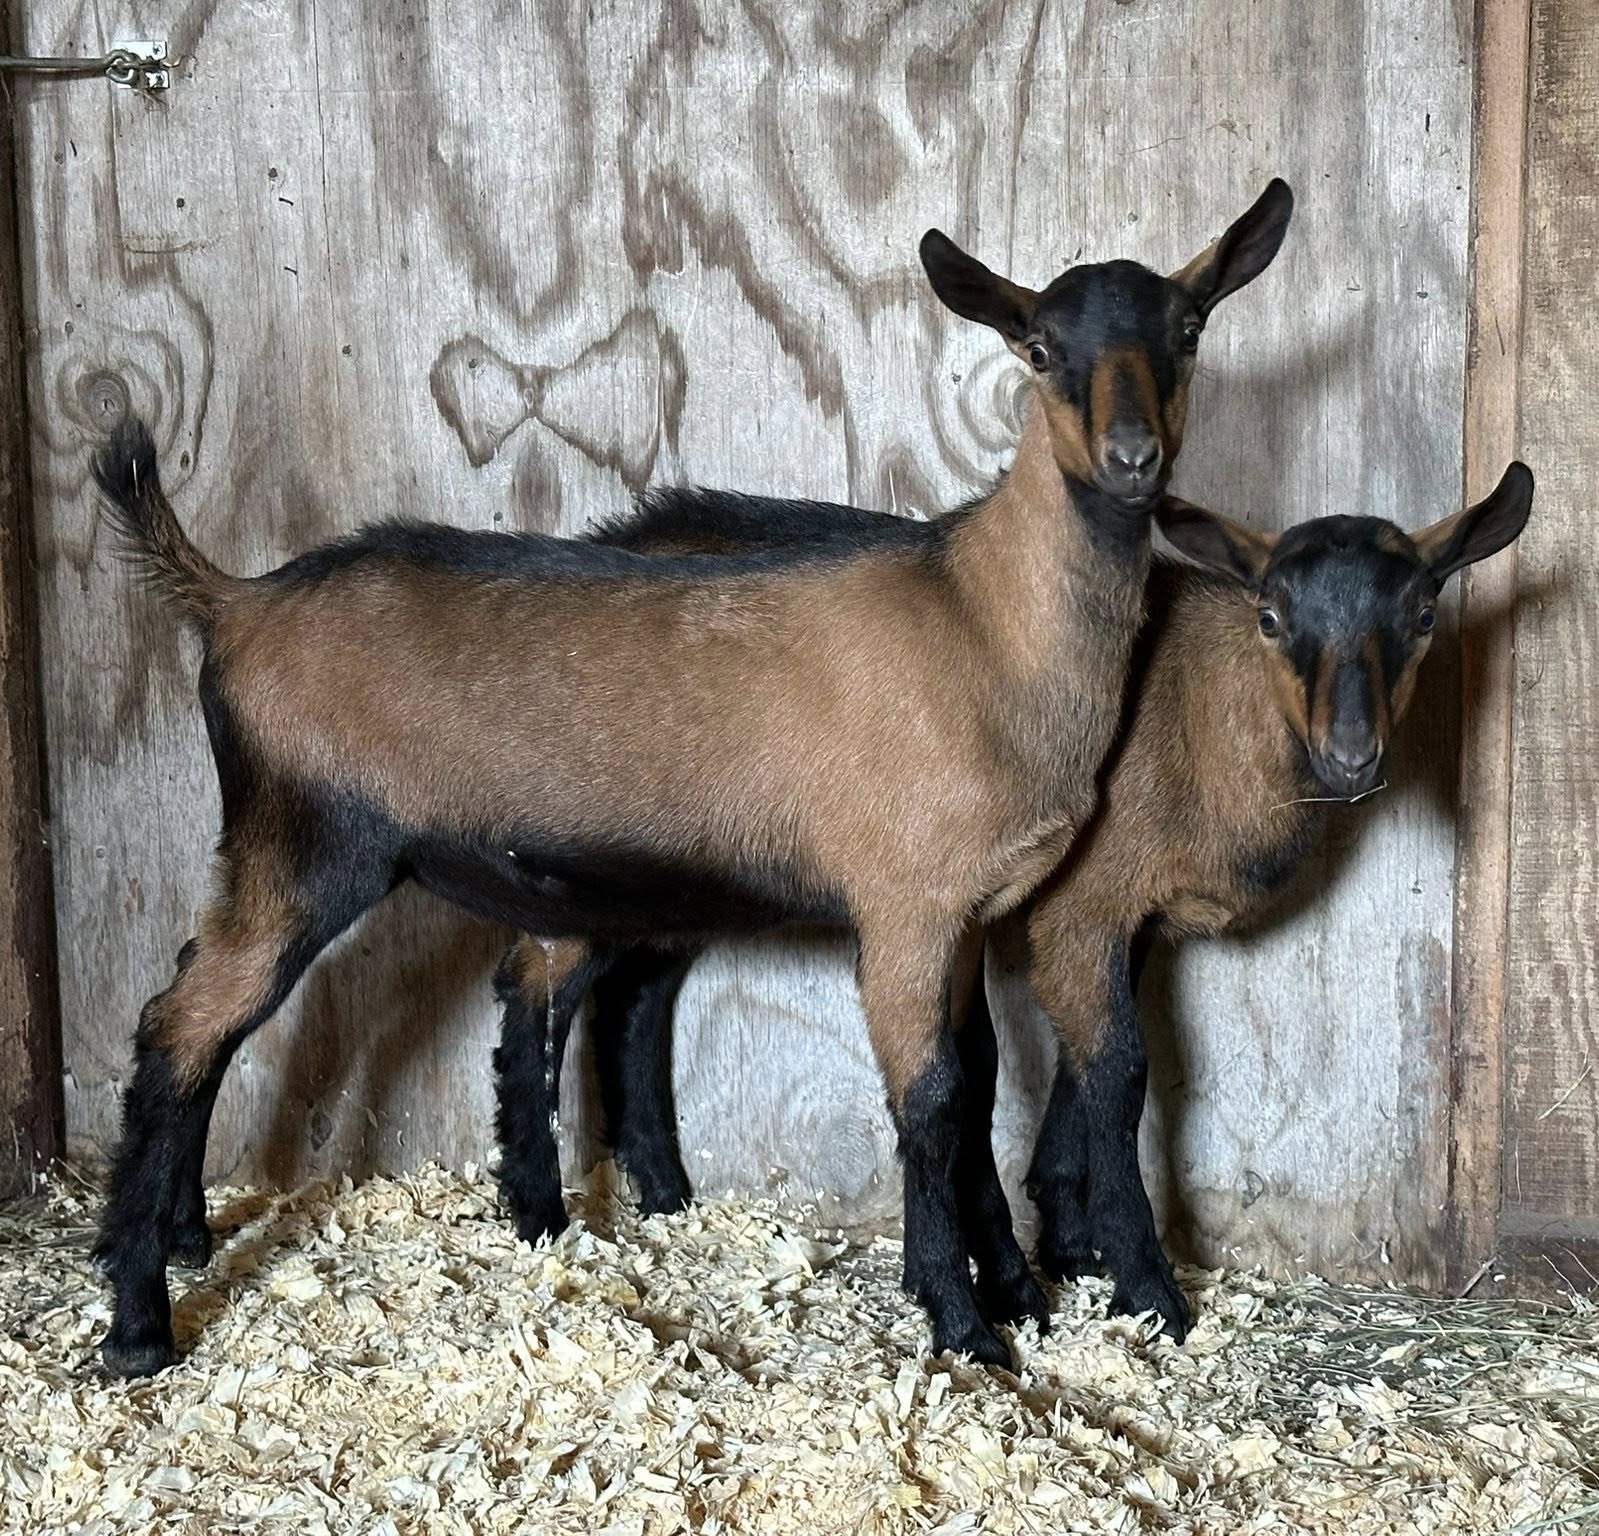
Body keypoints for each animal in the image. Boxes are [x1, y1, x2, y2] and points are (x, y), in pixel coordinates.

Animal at [88, 180, 1292, 1376]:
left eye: (1189, 329)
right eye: (1038, 348)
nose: (1132, 458)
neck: (983, 619)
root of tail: (235, 600)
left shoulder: (969, 913)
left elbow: (977, 1082)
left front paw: (1013, 1295)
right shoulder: (904, 906)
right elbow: (933, 1100)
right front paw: (964, 1324)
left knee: (219, 1006)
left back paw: (197, 1239)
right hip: (309, 840)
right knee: (182, 1024)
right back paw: (140, 1324)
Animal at [554, 464, 1533, 1341]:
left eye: (1421, 616)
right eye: (1270, 616)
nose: (1351, 755)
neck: (1201, 715)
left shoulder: (1122, 918)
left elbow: (1078, 1063)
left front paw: (1066, 1239)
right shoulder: (1082, 903)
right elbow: (1121, 1070)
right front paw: (1143, 1284)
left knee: (639, 992)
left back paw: (663, 1191)